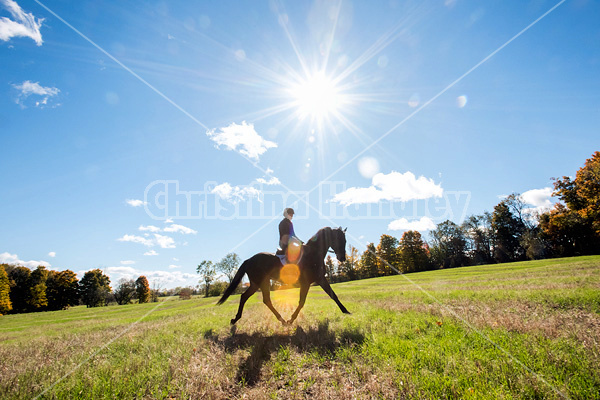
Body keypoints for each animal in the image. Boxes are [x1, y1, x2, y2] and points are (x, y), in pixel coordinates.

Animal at [218, 225, 352, 324]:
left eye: (345, 240)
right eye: (339, 239)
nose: (342, 258)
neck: (313, 254)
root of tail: (249, 260)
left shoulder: (320, 279)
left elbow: (333, 295)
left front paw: (346, 311)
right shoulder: (306, 283)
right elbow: (301, 301)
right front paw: (291, 319)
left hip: (255, 284)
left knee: (245, 297)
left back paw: (236, 319)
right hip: (262, 282)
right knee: (265, 300)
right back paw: (282, 320)